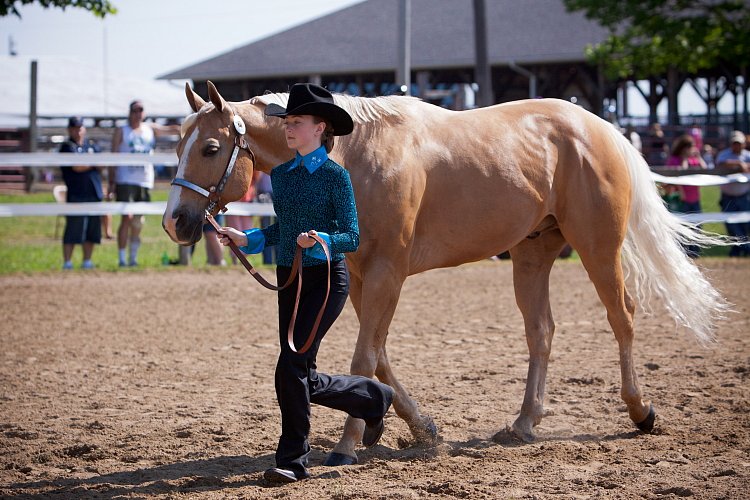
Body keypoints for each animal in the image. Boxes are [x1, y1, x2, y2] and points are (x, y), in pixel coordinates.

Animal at [163, 81, 728, 464]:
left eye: (210, 148)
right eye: (177, 145)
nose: (175, 221)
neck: (354, 153)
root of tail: (602, 127)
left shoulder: (388, 271)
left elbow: (365, 355)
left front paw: (349, 445)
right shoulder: (361, 275)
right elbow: (379, 355)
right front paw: (420, 429)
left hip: (597, 245)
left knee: (622, 317)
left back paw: (641, 411)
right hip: (532, 254)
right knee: (541, 331)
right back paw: (524, 424)